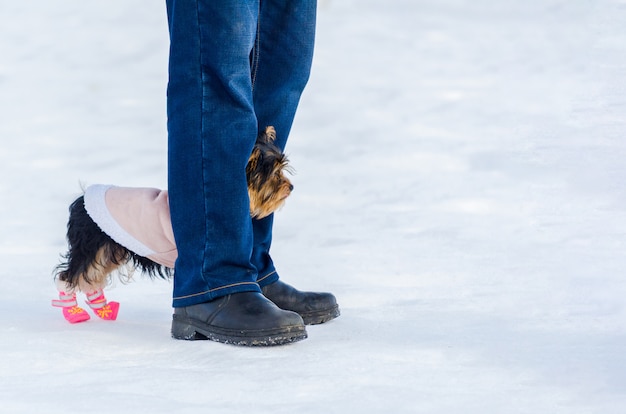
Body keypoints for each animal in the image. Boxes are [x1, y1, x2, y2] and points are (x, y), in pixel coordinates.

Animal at [51, 126, 292, 324]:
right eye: (274, 174)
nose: (290, 187)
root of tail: (81, 200)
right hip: (92, 247)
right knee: (71, 276)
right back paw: (74, 313)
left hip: (111, 251)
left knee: (92, 277)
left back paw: (103, 310)